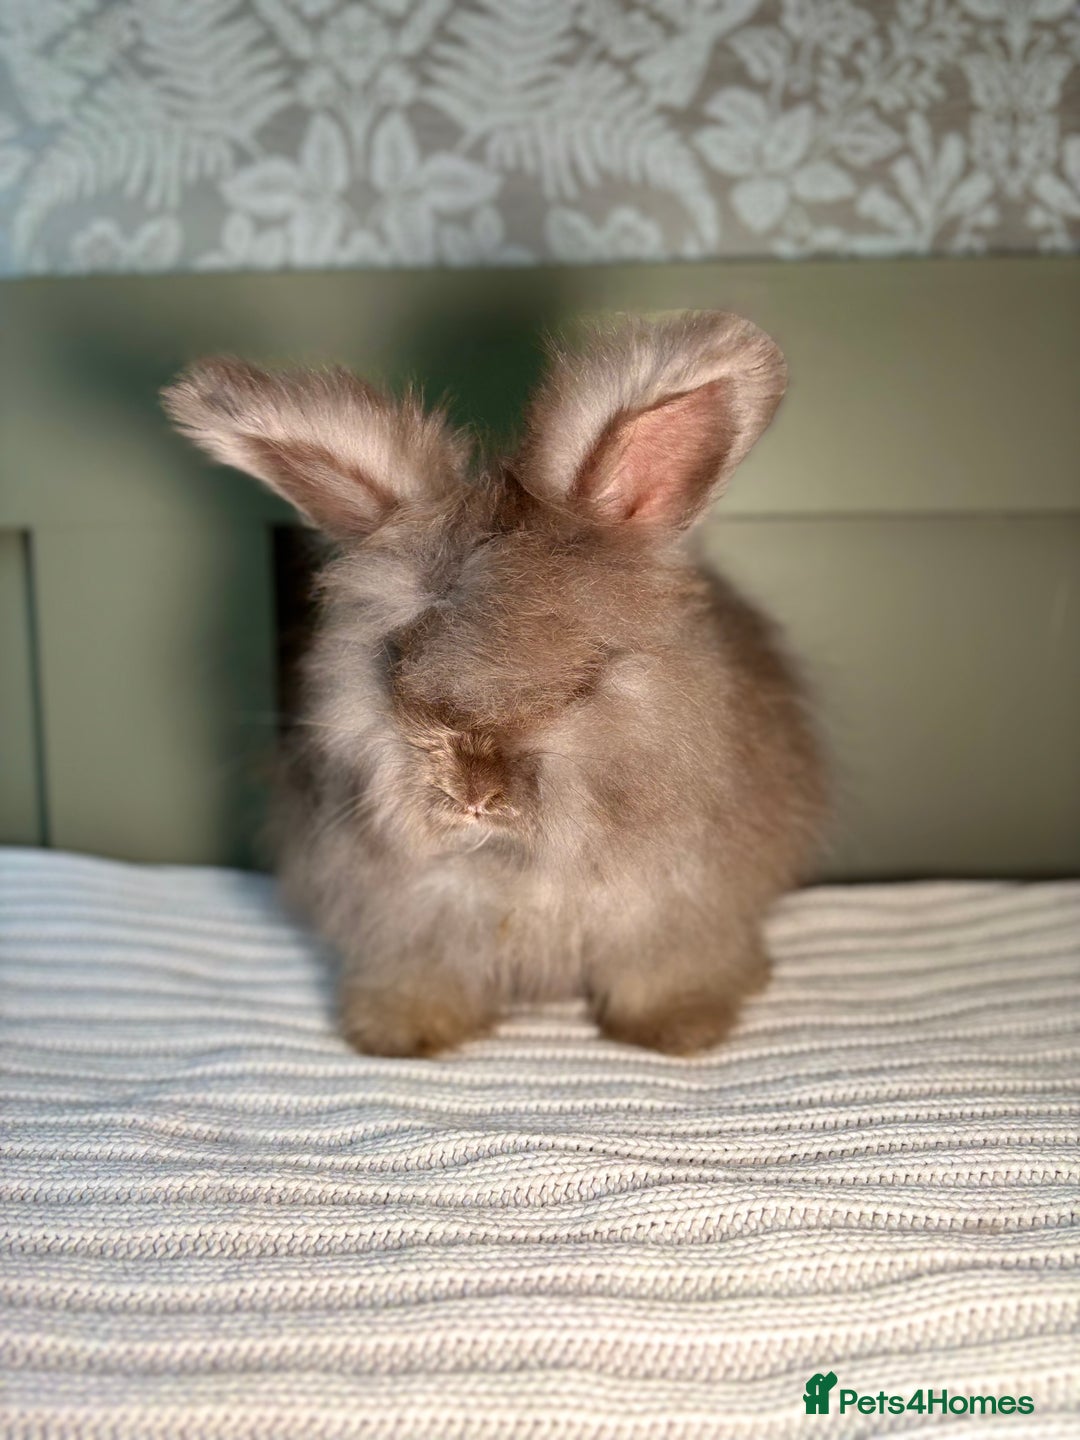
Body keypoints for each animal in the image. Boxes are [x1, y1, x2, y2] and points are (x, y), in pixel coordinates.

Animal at [163, 311, 826, 1058]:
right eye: (395, 663)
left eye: (581, 680)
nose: (473, 795)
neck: (510, 861)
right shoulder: (410, 926)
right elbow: (422, 978)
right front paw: (399, 1035)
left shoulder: (677, 909)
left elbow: (663, 974)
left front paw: (678, 1032)